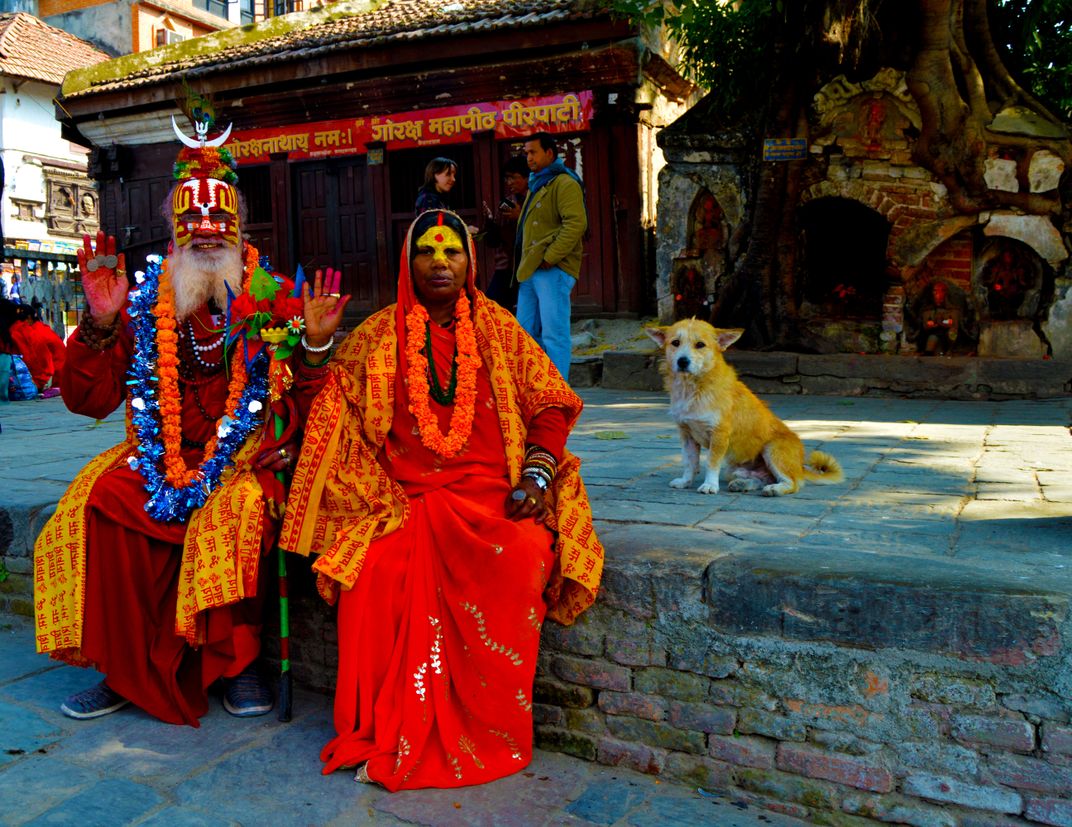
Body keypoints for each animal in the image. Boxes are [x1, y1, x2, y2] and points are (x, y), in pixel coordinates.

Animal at [643, 319, 844, 495]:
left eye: (700, 344)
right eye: (675, 343)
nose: (682, 361)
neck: (694, 389)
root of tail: (800, 466)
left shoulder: (719, 435)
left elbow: (711, 463)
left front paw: (709, 485)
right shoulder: (687, 434)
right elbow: (689, 462)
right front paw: (685, 481)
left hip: (772, 450)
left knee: (792, 483)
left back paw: (775, 489)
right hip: (735, 468)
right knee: (763, 478)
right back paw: (743, 484)